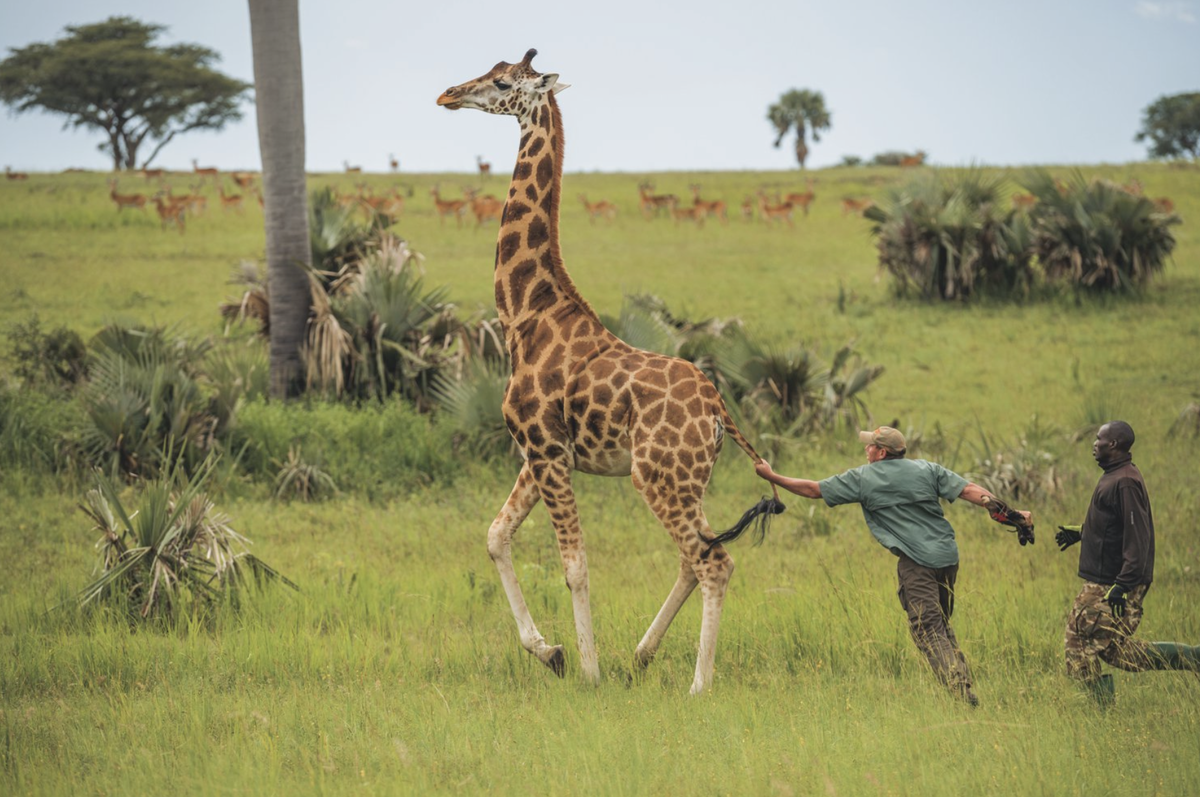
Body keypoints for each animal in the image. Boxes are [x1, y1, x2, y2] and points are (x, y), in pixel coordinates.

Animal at [436, 51, 782, 696]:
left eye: (502, 81)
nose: (448, 94)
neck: (526, 314)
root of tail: (719, 411)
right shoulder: (537, 453)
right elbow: (496, 536)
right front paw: (549, 652)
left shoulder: (547, 452)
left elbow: (574, 565)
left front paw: (587, 670)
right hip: (685, 480)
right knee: (695, 556)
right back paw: (643, 655)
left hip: (658, 478)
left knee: (714, 560)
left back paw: (698, 684)